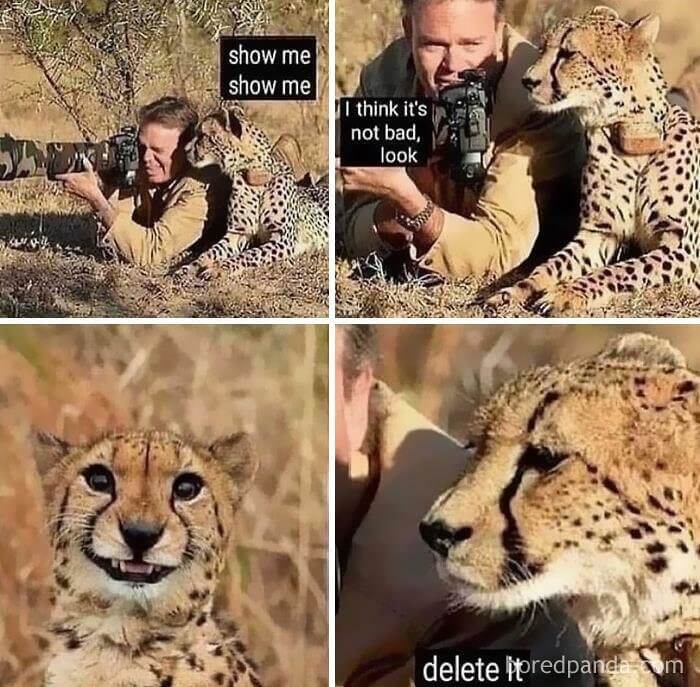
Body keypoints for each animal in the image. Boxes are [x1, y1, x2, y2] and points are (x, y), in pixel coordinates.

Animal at [179, 108, 328, 280]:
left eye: (203, 135)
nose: (185, 150)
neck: (254, 178)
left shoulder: (283, 239)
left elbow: (250, 254)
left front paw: (219, 268)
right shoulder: (237, 233)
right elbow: (209, 252)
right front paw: (189, 267)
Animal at [486, 6, 700, 316]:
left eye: (568, 53)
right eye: (543, 47)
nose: (527, 81)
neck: (629, 139)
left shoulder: (682, 248)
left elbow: (622, 271)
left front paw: (567, 293)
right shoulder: (599, 233)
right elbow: (552, 265)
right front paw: (513, 291)